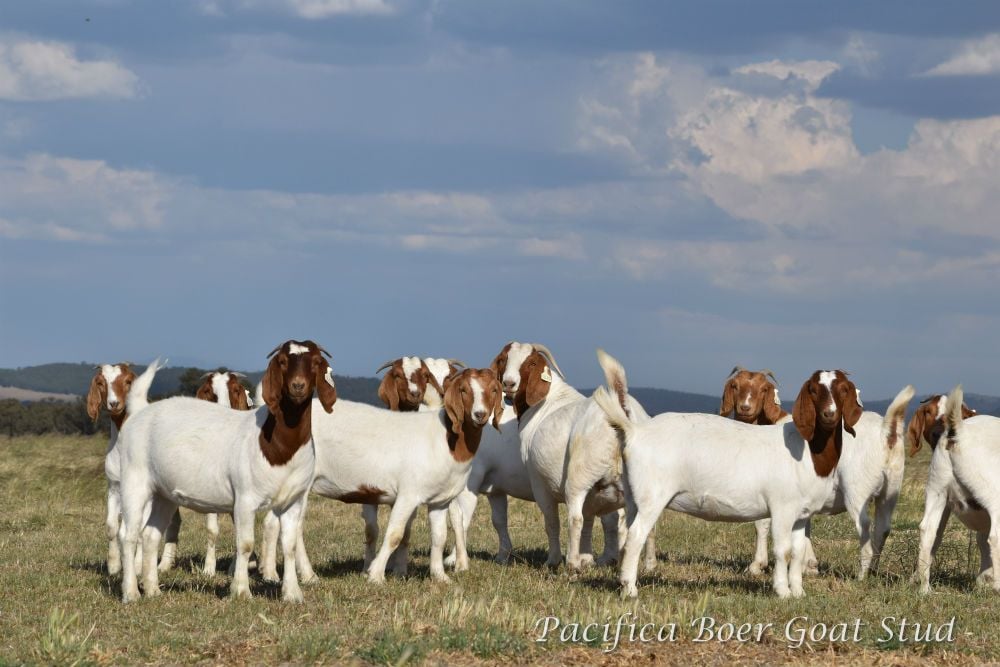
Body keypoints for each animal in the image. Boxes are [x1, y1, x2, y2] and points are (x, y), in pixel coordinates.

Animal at [87, 358, 164, 576]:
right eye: (101, 383)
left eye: (128, 381)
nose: (114, 404)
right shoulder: (114, 488)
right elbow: (112, 527)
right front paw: (114, 565)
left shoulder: (147, 496)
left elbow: (139, 531)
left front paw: (137, 568)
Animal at [261, 368, 504, 584]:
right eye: (463, 389)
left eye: (493, 389)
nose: (480, 415)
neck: (445, 439)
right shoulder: (408, 493)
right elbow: (394, 534)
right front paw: (375, 574)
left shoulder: (440, 500)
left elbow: (439, 537)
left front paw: (439, 576)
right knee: (295, 528)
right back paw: (308, 576)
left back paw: (274, 574)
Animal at [595, 363, 912, 598]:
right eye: (813, 389)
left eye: (843, 389)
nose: (829, 414)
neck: (806, 449)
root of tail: (634, 431)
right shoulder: (782, 507)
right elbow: (783, 550)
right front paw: (781, 591)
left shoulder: (800, 513)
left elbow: (797, 551)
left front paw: (798, 592)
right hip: (652, 495)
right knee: (636, 535)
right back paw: (630, 590)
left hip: (635, 497)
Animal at [913, 388, 996, 593]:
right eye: (928, 412)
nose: (936, 433)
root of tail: (956, 433)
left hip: (937, 489)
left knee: (927, 529)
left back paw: (924, 589)